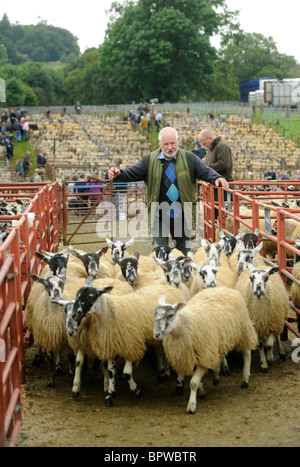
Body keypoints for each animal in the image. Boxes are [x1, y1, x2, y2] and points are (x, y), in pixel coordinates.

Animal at [152, 288, 258, 416]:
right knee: (219, 356)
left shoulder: (204, 355)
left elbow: (193, 383)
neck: (184, 325)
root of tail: (224, 288)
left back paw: (245, 379)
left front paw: (191, 405)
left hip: (243, 330)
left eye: (170, 315)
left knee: (247, 353)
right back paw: (216, 377)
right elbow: (195, 380)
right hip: (218, 339)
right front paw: (201, 391)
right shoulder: (190, 356)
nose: (156, 334)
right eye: (154, 314)